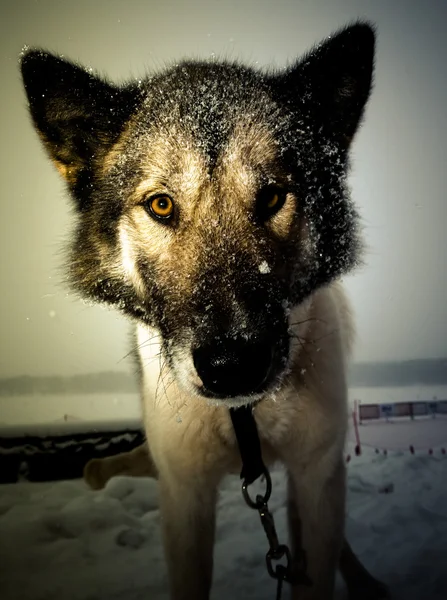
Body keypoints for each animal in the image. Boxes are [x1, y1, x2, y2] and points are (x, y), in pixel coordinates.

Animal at [21, 22, 386, 600]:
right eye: (161, 205)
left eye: (272, 196)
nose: (233, 365)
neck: (244, 419)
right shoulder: (184, 492)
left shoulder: (316, 470)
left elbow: (318, 560)